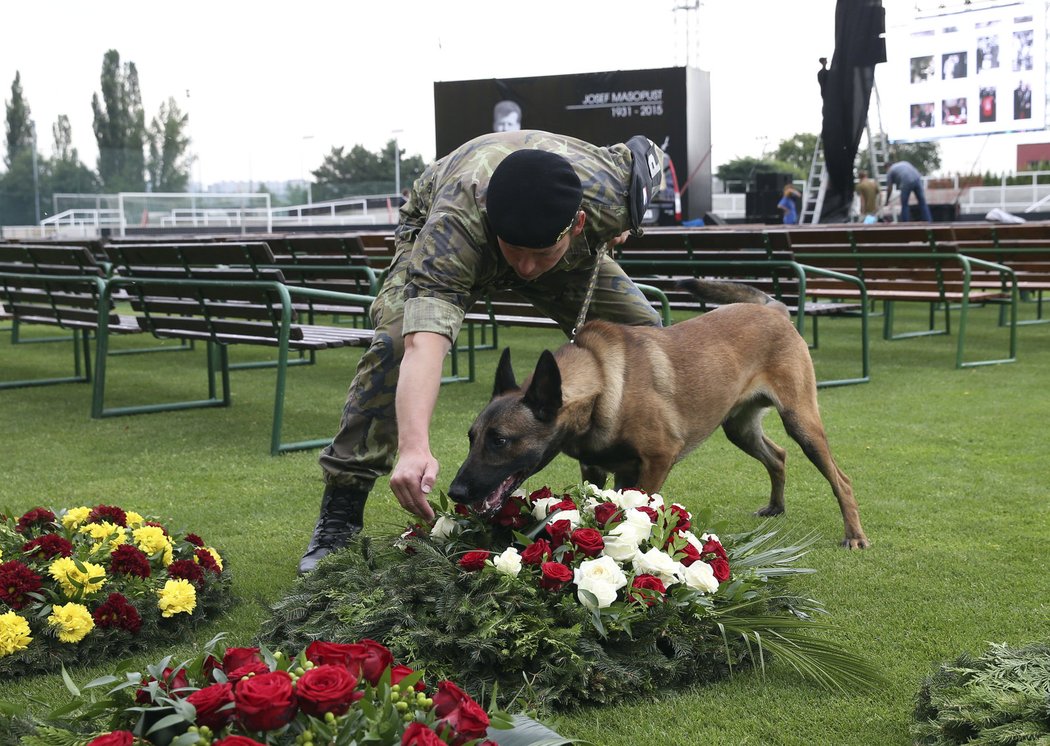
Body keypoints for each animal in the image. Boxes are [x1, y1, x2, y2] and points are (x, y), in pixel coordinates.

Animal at [451, 281, 869, 550]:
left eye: (500, 440)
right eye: (471, 438)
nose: (455, 492)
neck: (602, 380)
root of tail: (775, 310)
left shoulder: (656, 461)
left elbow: (641, 513)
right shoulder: (599, 470)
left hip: (803, 424)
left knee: (842, 480)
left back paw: (854, 535)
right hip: (739, 429)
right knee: (778, 456)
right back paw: (777, 506)